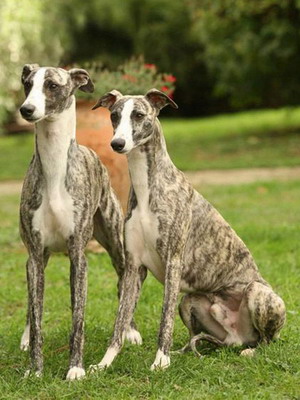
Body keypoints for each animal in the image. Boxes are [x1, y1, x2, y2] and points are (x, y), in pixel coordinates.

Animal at [19, 64, 143, 380]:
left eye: (52, 85)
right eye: (27, 84)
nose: (26, 109)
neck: (54, 170)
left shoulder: (79, 255)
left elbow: (78, 319)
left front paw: (75, 368)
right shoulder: (35, 255)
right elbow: (37, 318)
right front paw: (35, 369)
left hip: (114, 242)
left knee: (124, 283)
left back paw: (131, 331)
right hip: (42, 258)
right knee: (33, 307)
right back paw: (24, 337)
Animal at [89, 88, 286, 372]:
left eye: (139, 115)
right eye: (114, 115)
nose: (117, 144)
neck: (149, 188)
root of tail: (238, 336)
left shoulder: (173, 262)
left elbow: (165, 320)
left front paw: (160, 360)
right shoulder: (134, 267)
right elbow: (120, 321)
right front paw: (104, 363)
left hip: (259, 294)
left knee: (267, 340)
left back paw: (250, 351)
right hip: (190, 301)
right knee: (203, 337)